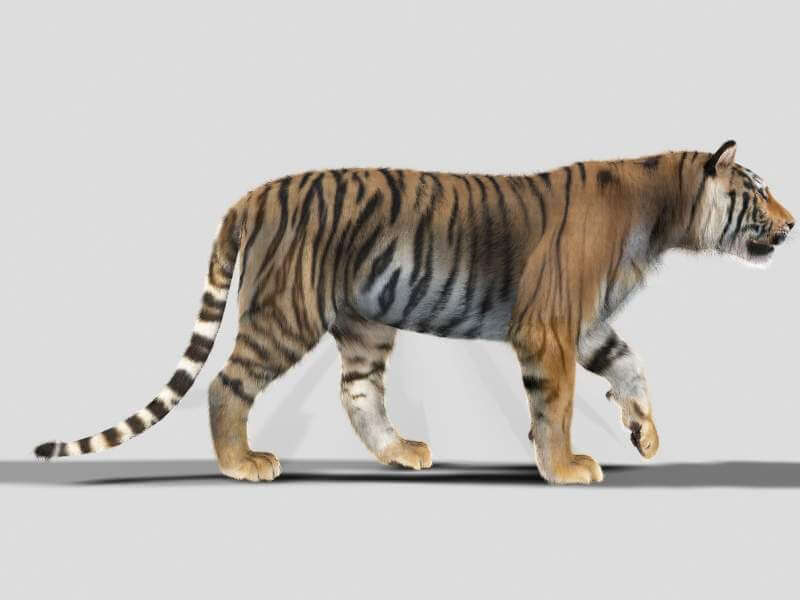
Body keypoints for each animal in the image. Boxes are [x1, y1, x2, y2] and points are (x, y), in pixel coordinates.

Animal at [34, 140, 794, 484]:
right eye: (758, 190)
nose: (791, 225)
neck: (663, 217)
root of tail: (254, 194)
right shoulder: (549, 325)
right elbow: (557, 405)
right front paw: (564, 466)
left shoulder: (587, 323)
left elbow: (632, 367)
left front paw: (646, 435)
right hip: (287, 313)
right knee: (227, 384)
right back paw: (242, 463)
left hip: (365, 323)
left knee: (358, 394)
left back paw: (401, 453)